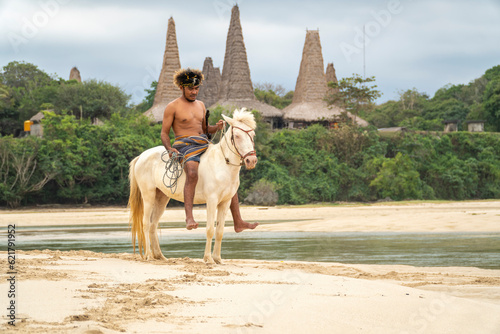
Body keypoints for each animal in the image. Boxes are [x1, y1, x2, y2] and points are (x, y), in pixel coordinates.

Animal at [127, 109, 260, 264]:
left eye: (252, 135)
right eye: (237, 136)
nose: (251, 160)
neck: (223, 163)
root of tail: (141, 156)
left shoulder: (225, 202)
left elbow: (220, 231)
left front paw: (217, 258)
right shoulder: (212, 200)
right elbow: (210, 229)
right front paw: (208, 258)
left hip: (162, 197)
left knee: (153, 224)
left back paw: (159, 256)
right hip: (148, 195)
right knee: (146, 223)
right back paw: (149, 255)